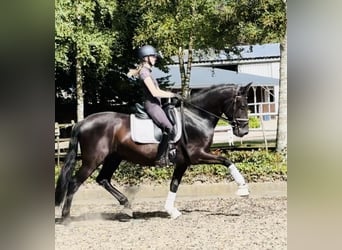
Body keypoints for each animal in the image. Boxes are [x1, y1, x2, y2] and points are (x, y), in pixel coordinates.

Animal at [53, 82, 251, 219]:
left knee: (103, 179)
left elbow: (174, 184)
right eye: (242, 106)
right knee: (74, 183)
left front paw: (171, 211)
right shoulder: (197, 156)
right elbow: (227, 160)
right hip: (93, 159)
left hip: (113, 158)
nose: (244, 132)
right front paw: (243, 189)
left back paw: (127, 207)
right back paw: (66, 217)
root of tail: (82, 122)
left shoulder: (183, 162)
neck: (197, 117)